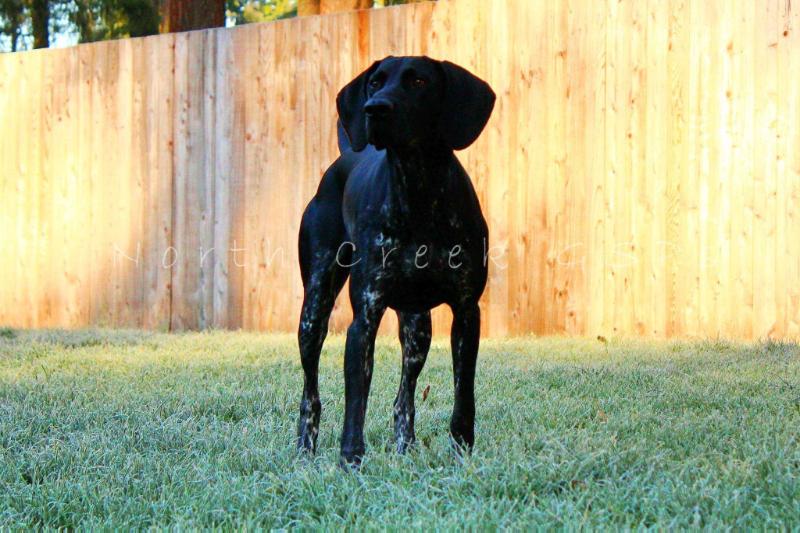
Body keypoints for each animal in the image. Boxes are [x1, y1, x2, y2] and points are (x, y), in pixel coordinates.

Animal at [296, 56, 494, 464]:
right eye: (375, 82)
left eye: (419, 81)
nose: (375, 109)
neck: (418, 191)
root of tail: (347, 154)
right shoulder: (365, 318)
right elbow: (356, 402)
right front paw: (350, 461)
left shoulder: (467, 312)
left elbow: (463, 397)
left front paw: (462, 454)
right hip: (314, 311)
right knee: (311, 395)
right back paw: (305, 450)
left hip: (417, 329)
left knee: (404, 399)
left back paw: (405, 450)